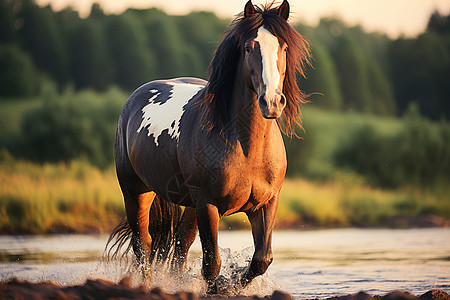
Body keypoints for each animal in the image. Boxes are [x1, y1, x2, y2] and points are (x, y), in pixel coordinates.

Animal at [107, 0, 312, 292]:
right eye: (248, 48)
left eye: (283, 48)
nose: (271, 102)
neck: (247, 148)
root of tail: (134, 99)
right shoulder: (208, 205)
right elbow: (212, 263)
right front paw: (221, 285)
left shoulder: (265, 204)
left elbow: (262, 259)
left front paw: (232, 283)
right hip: (136, 191)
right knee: (143, 245)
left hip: (189, 206)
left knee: (179, 246)